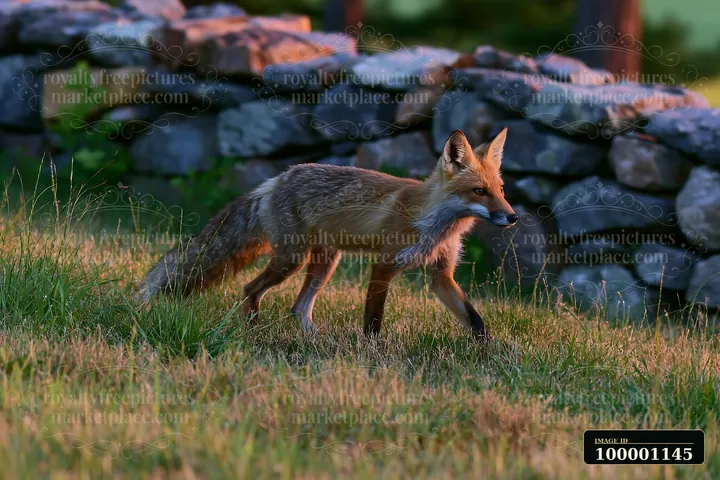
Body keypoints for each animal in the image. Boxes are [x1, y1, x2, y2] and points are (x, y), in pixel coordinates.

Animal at [137, 129, 517, 340]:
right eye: (479, 192)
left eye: (500, 190)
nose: (512, 217)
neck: (435, 225)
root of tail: (275, 179)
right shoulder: (383, 265)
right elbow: (373, 320)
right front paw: (373, 351)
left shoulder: (441, 276)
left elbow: (475, 319)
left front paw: (491, 351)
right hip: (291, 260)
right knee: (250, 289)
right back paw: (253, 328)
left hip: (325, 263)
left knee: (297, 308)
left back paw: (310, 337)